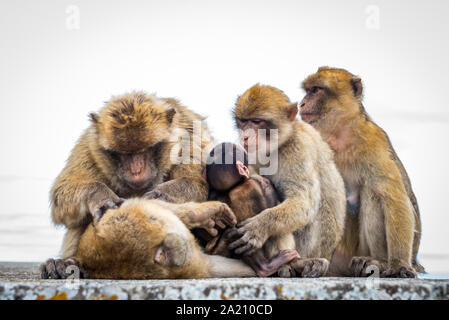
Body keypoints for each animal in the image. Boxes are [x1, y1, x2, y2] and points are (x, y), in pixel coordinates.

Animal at [39, 91, 214, 278]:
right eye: (124, 154)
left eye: (145, 150)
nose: (136, 171)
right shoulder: (89, 146)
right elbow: (61, 195)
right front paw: (100, 196)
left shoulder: (191, 139)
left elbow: (198, 184)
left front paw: (159, 195)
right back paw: (68, 263)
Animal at [226, 84, 344, 278]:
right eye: (243, 121)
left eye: (256, 121)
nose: (245, 136)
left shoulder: (298, 149)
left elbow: (304, 203)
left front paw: (260, 226)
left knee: (318, 207)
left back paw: (296, 263)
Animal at [300, 67, 422, 278]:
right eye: (308, 90)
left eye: (315, 90)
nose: (302, 103)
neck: (338, 135)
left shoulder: (373, 142)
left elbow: (394, 198)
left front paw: (399, 264)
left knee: (374, 193)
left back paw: (379, 261)